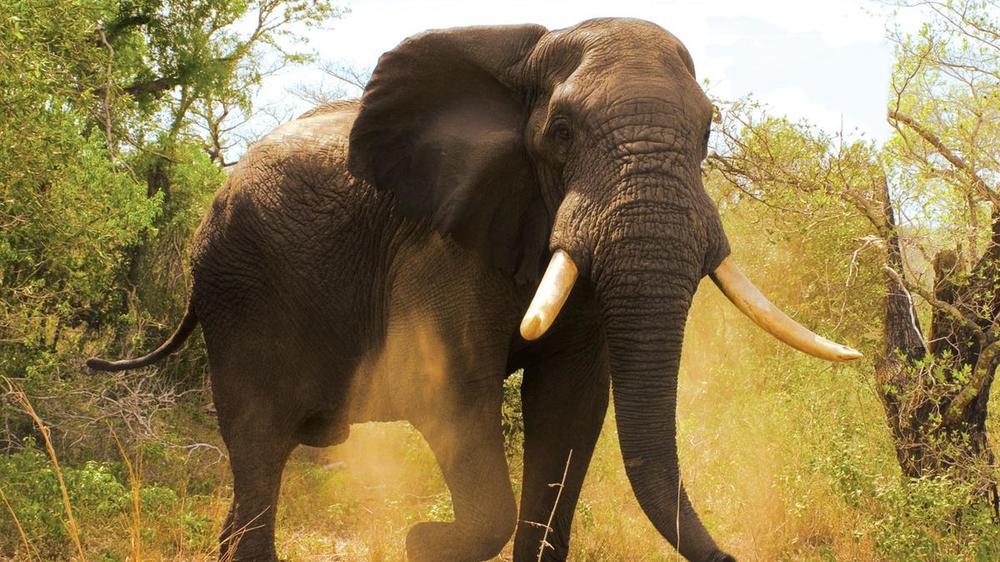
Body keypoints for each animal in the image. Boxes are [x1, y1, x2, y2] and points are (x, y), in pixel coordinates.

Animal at [88, 17, 861, 562]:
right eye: (561, 131)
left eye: (706, 132)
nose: (729, 555)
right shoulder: (438, 248)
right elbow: (452, 391)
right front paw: (419, 542)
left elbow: (571, 409)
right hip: (238, 289)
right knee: (258, 447)